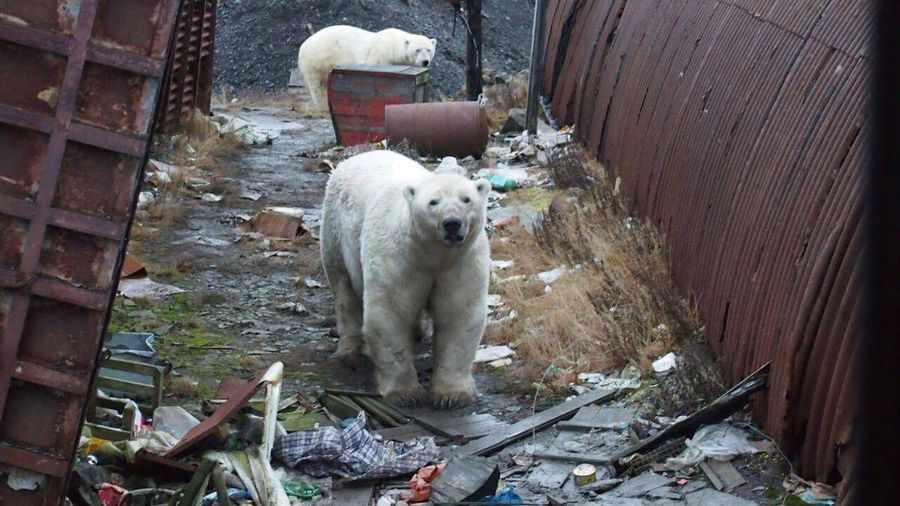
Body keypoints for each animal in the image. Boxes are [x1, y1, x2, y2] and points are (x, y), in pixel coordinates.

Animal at [298, 25, 436, 111]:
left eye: (429, 50)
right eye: (417, 50)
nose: (425, 62)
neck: (393, 46)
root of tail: (304, 45)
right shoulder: (380, 56)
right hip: (319, 59)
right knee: (318, 84)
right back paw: (323, 106)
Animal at [322, 149, 492, 408]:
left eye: (466, 199)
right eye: (433, 202)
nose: (452, 224)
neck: (433, 254)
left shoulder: (462, 263)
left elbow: (459, 315)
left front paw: (452, 395)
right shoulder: (398, 260)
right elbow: (390, 313)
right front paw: (405, 393)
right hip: (335, 234)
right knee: (344, 288)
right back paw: (350, 350)